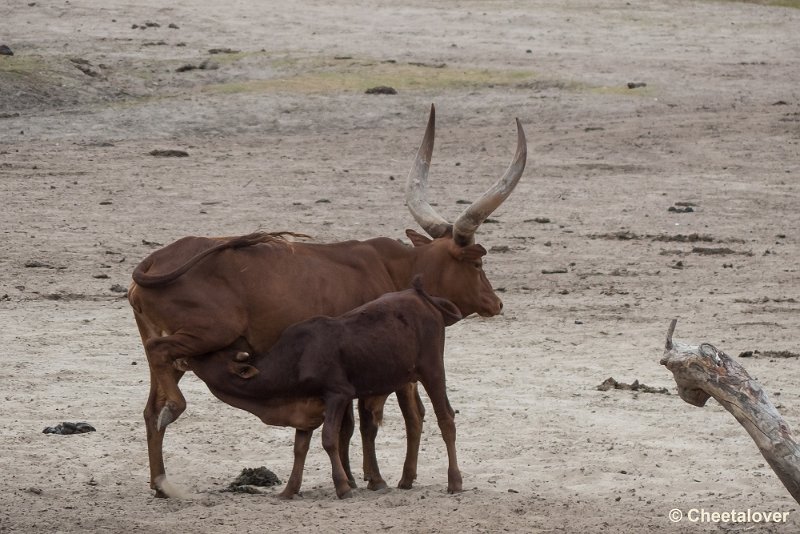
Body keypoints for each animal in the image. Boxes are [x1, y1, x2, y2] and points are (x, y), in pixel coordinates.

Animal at [188, 278, 462, 500]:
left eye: (211, 356)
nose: (189, 355)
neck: (296, 360)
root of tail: (419, 294)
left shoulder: (338, 394)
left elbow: (330, 438)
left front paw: (343, 487)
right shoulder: (303, 404)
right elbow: (299, 447)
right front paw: (289, 490)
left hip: (432, 369)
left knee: (445, 418)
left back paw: (454, 481)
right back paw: (406, 479)